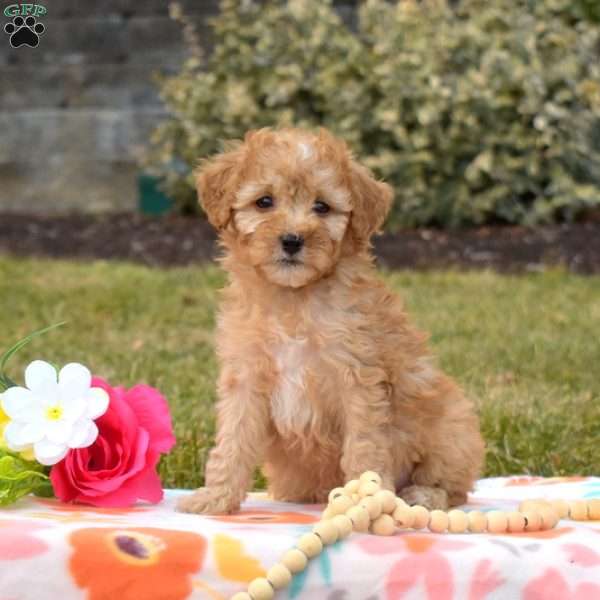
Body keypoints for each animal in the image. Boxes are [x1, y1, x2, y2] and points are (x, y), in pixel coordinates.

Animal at [176, 129, 486, 512]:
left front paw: (366, 499)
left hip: (452, 426)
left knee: (453, 486)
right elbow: (232, 440)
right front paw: (215, 498)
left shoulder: (358, 379)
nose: (292, 240)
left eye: (322, 207)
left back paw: (421, 495)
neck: (294, 299)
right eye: (264, 202)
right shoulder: (245, 377)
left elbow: (364, 445)